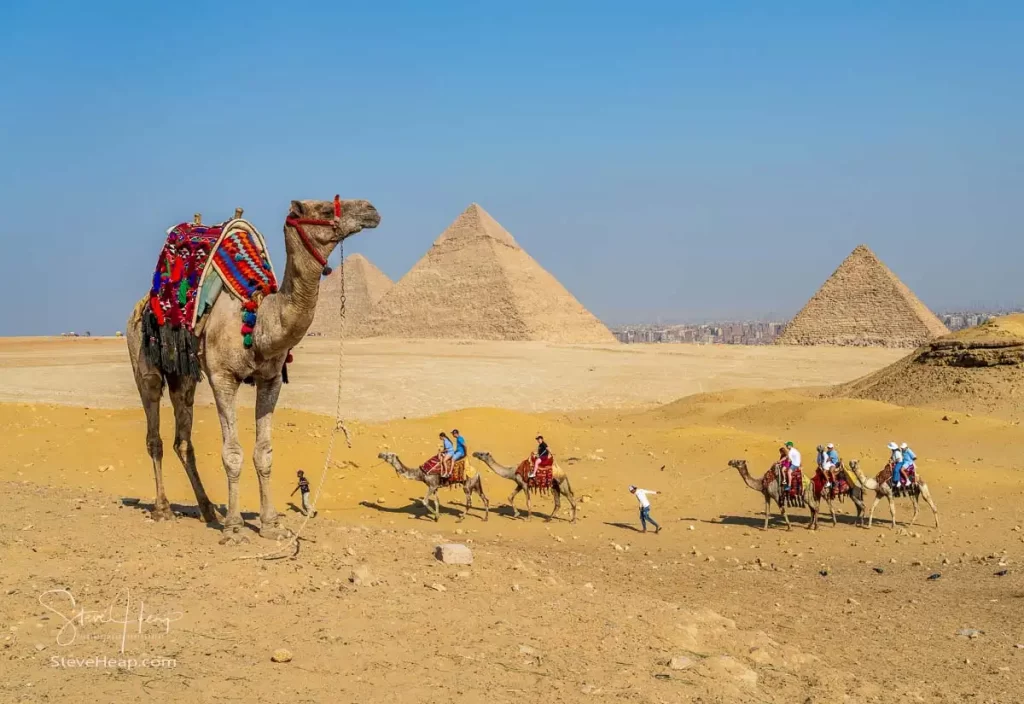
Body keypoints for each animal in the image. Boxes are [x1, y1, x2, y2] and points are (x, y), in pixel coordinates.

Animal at [126, 198, 380, 544]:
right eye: (326, 209)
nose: (371, 209)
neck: (259, 321)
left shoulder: (270, 379)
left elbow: (264, 452)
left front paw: (270, 524)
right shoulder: (223, 377)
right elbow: (232, 453)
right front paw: (234, 527)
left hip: (184, 374)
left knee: (183, 439)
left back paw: (207, 509)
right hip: (143, 358)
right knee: (154, 432)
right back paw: (163, 508)